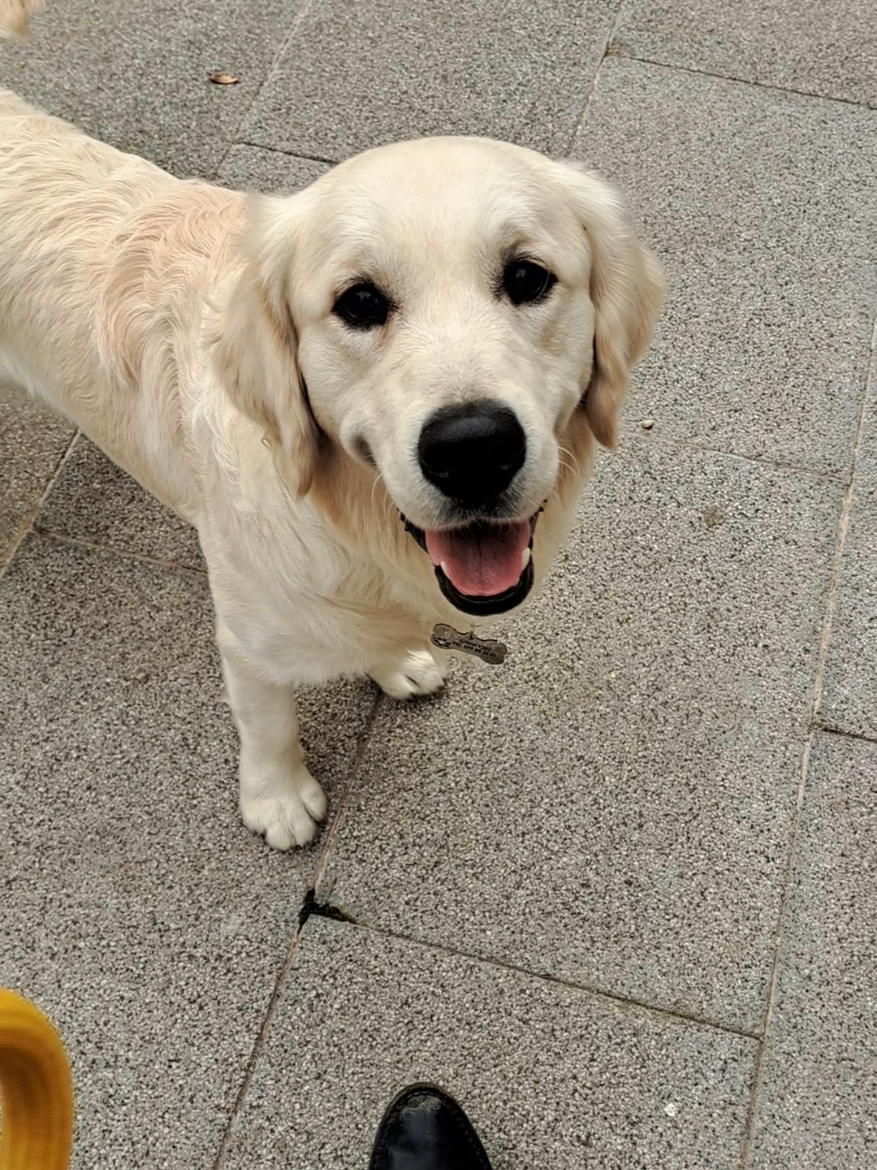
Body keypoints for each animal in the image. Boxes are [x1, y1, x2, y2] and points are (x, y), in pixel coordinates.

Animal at [0, 0, 659, 847]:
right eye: (359, 302)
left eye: (526, 277)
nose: (472, 449)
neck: (352, 527)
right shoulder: (247, 629)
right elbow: (266, 718)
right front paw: (277, 798)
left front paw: (394, 662)